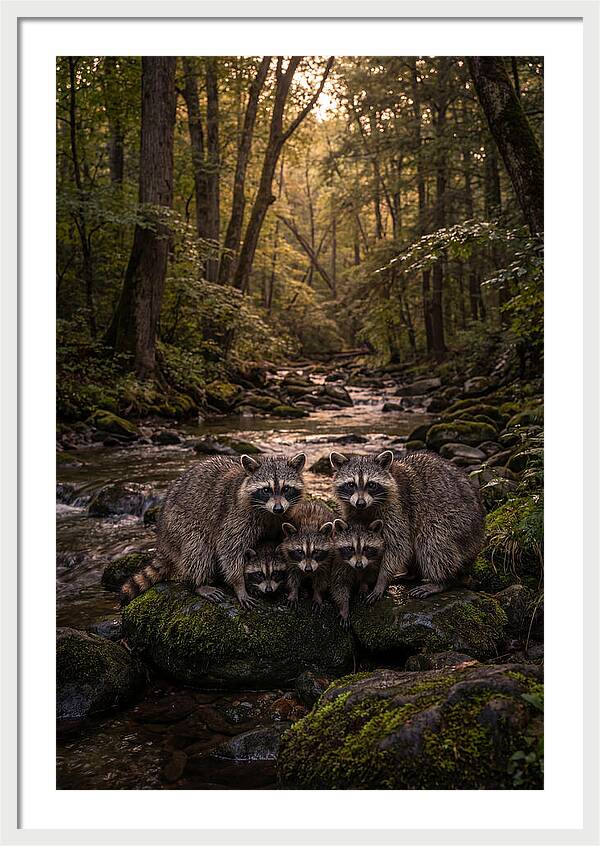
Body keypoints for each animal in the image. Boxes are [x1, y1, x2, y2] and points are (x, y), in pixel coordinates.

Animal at [121, 452, 306, 609]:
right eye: (266, 490)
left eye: (286, 488)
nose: (278, 508)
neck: (269, 513)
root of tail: (162, 539)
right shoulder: (236, 516)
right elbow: (229, 550)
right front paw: (239, 584)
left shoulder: (282, 518)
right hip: (178, 524)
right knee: (198, 548)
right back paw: (198, 583)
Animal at [329, 449, 485, 601]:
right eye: (351, 485)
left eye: (371, 485)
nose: (360, 503)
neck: (367, 508)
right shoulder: (351, 509)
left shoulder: (398, 508)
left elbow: (398, 546)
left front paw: (381, 580)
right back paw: (412, 574)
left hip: (458, 523)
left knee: (432, 541)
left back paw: (441, 581)